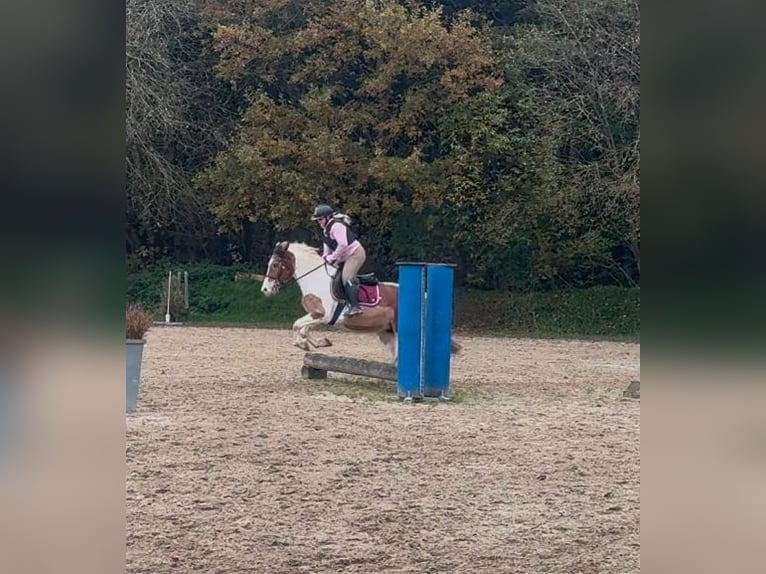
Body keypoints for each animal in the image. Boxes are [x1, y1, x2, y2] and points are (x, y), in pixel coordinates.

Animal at [260, 243, 462, 364]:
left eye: (275, 265)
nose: (265, 290)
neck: (316, 278)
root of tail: (425, 295)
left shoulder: (323, 315)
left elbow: (297, 325)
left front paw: (303, 344)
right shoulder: (316, 316)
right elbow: (303, 329)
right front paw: (318, 343)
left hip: (399, 328)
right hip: (387, 331)